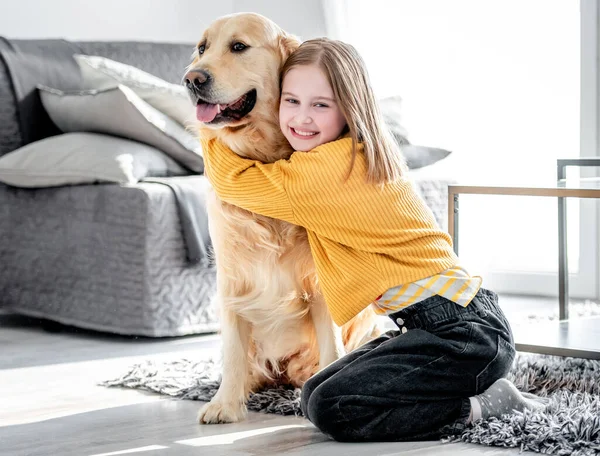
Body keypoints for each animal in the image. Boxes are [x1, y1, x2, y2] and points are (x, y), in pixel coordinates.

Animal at [184, 11, 380, 424]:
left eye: (238, 46)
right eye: (202, 48)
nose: (192, 79)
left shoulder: (320, 281)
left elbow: (331, 345)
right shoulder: (232, 277)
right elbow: (233, 349)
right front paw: (226, 403)